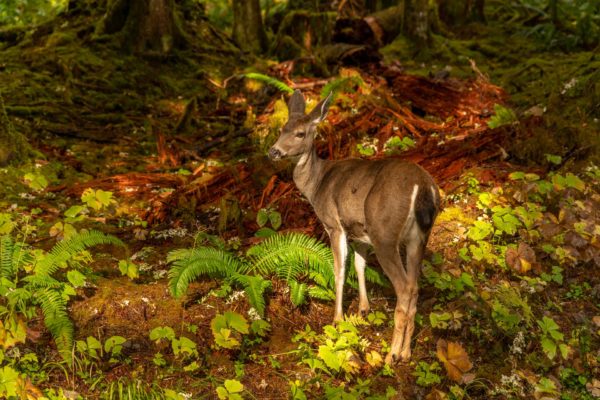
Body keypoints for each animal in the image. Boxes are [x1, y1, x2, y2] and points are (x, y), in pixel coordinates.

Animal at [268, 90, 440, 362]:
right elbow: (359, 266)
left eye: (300, 133)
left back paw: (392, 355)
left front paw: (338, 319)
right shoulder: (359, 233)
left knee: (404, 287)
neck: (317, 184)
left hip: (385, 233)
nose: (273, 152)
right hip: (419, 237)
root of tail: (423, 187)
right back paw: (406, 353)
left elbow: (339, 270)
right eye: (282, 128)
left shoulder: (333, 224)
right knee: (414, 285)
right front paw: (363, 309)